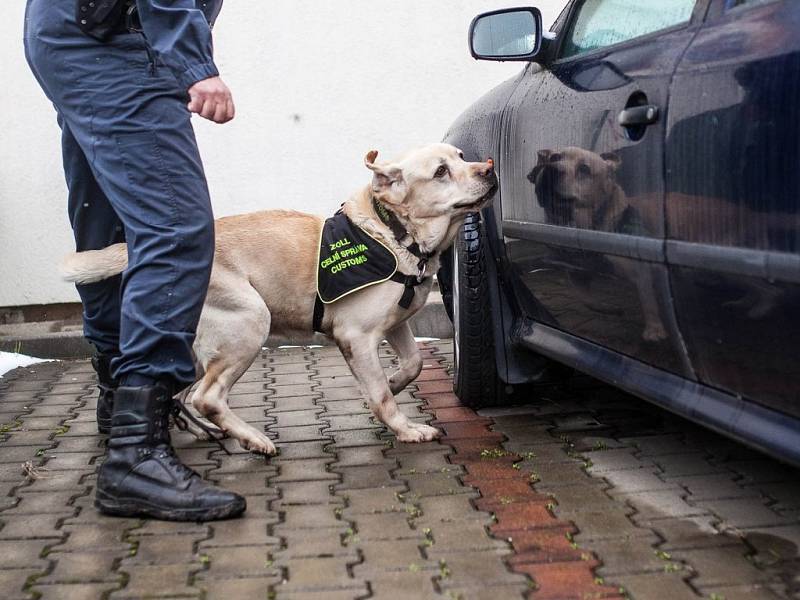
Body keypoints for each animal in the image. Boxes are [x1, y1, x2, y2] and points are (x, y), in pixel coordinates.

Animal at [62, 145, 496, 452]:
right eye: (440, 171)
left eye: (461, 155)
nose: (489, 168)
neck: (395, 234)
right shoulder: (356, 335)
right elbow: (382, 397)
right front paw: (405, 428)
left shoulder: (396, 324)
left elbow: (413, 364)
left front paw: (391, 380)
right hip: (250, 321)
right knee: (207, 397)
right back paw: (252, 439)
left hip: (200, 347)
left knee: (182, 393)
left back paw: (205, 431)